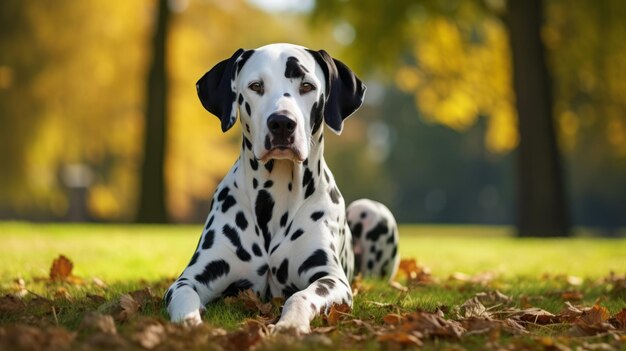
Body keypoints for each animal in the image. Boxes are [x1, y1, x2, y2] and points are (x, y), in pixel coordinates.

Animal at [165, 42, 400, 334]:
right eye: (256, 86)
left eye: (307, 85)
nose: (282, 123)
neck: (274, 198)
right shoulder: (195, 275)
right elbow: (183, 293)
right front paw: (189, 323)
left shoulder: (332, 279)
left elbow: (301, 296)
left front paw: (291, 324)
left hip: (373, 211)